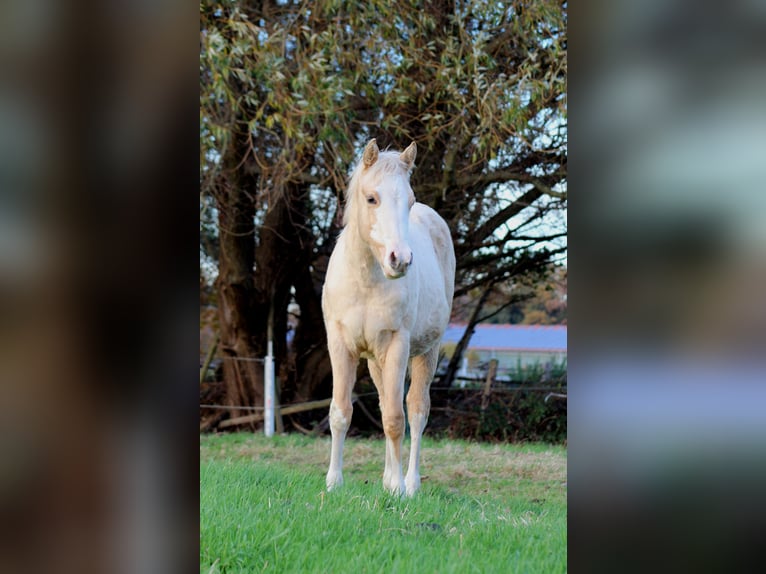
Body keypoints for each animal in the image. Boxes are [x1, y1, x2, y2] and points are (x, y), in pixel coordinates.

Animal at [322, 138, 456, 496]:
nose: (401, 259)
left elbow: (397, 418)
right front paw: (333, 481)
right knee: (384, 403)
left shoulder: (398, 345)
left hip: (426, 352)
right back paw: (386, 475)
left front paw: (396, 488)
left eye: (408, 201)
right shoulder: (341, 346)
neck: (366, 280)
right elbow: (341, 412)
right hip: (375, 361)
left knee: (416, 410)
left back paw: (409, 482)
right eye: (372, 198)